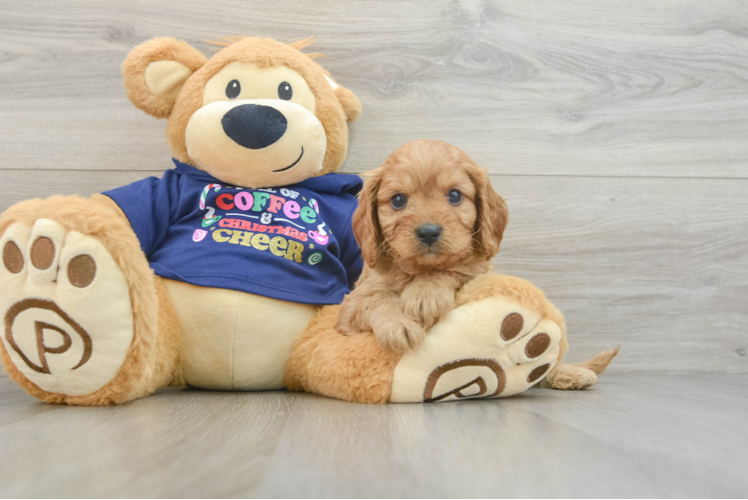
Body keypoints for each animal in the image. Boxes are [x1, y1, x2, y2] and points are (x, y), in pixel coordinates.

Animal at [338, 138, 508, 352]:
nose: (428, 233)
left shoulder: (481, 272)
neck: (418, 269)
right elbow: (375, 298)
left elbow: (457, 267)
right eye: (398, 200)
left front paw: (425, 294)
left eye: (454, 195)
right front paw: (398, 323)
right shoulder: (350, 306)